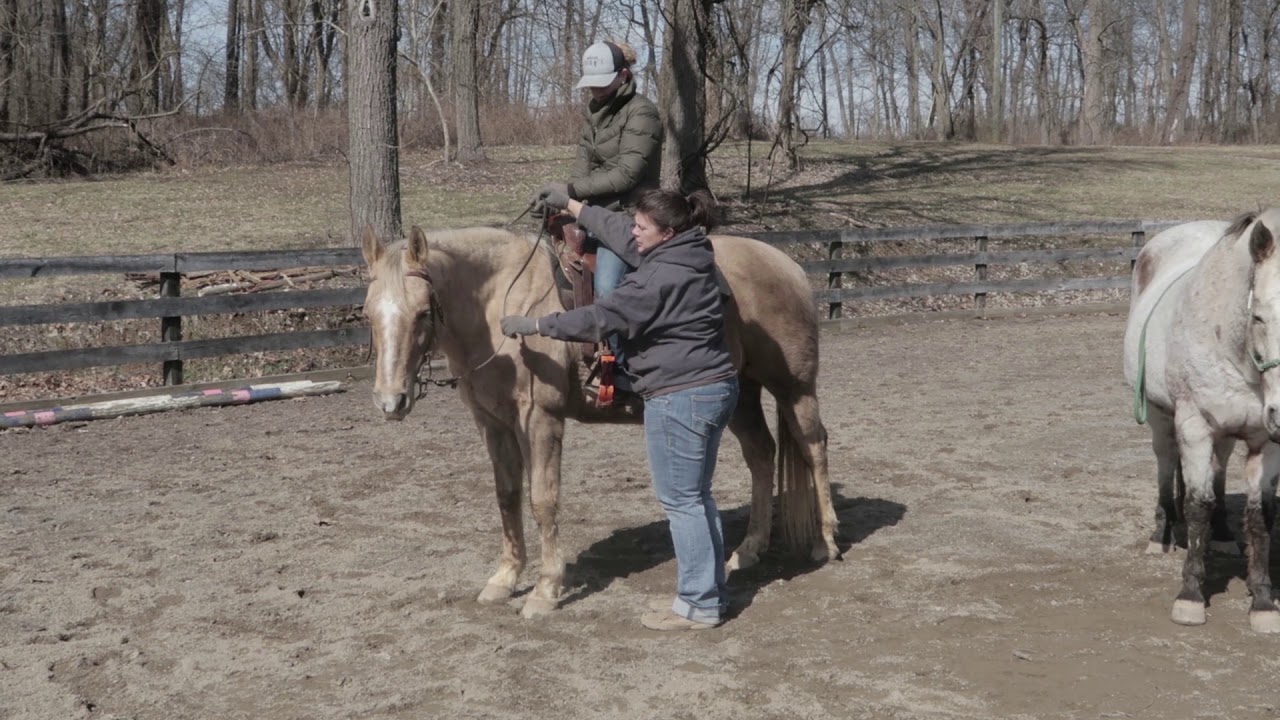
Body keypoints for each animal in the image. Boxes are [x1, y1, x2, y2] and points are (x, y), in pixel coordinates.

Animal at [360, 224, 841, 618]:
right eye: (367, 313)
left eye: (423, 312)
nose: (390, 400)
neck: (502, 303)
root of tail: (787, 265)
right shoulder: (491, 423)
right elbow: (507, 496)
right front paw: (505, 579)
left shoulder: (541, 420)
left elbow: (542, 499)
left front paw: (545, 590)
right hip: (741, 393)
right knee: (762, 455)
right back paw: (749, 550)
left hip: (794, 388)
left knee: (814, 447)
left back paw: (825, 542)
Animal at [1123, 211, 1280, 632]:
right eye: (1258, 316)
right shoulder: (1193, 426)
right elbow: (1196, 505)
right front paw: (1190, 596)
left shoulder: (1266, 441)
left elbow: (1260, 515)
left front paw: (1263, 602)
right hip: (1161, 418)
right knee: (1166, 467)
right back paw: (1160, 535)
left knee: (1220, 471)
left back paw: (1223, 535)